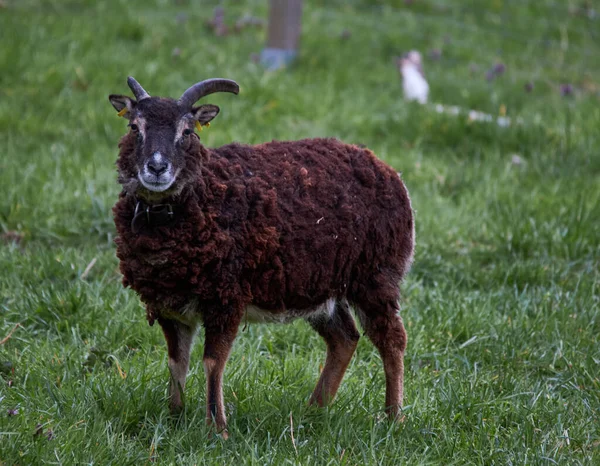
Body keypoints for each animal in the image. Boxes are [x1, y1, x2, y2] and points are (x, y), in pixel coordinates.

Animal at [108, 74, 414, 436]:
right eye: (134, 127)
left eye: (187, 131)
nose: (157, 167)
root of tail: (388, 171)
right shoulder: (168, 304)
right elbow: (176, 361)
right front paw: (174, 418)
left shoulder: (225, 297)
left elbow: (213, 361)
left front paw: (217, 429)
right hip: (316, 285)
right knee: (345, 338)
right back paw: (314, 409)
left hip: (375, 276)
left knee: (392, 339)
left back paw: (393, 416)